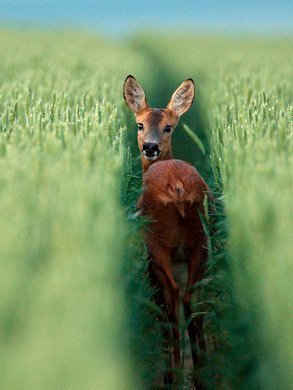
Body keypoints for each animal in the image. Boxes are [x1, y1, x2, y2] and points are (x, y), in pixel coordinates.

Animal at [123, 74, 210, 386]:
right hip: (200, 242)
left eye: (168, 127)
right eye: (140, 124)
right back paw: (199, 372)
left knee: (172, 303)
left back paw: (173, 374)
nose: (150, 147)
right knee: (191, 301)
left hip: (157, 244)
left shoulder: (151, 261)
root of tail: (178, 188)